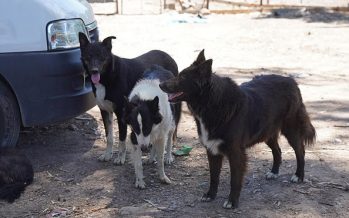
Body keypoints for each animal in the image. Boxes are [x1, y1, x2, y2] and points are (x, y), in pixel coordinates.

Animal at [79, 33, 179, 164]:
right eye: (89, 56)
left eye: (101, 56)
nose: (94, 71)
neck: (108, 77)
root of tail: (169, 56)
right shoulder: (105, 110)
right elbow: (109, 137)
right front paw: (107, 154)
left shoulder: (121, 112)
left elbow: (121, 138)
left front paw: (120, 158)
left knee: (171, 132)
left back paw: (168, 156)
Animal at [159, 50, 314, 209]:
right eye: (179, 74)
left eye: (183, 77)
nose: (160, 84)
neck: (212, 104)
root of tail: (291, 81)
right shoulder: (212, 150)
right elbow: (214, 176)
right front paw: (210, 195)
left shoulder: (235, 152)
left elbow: (235, 180)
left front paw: (232, 201)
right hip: (266, 133)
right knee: (277, 150)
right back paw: (274, 172)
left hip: (291, 130)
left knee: (300, 151)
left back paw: (299, 175)